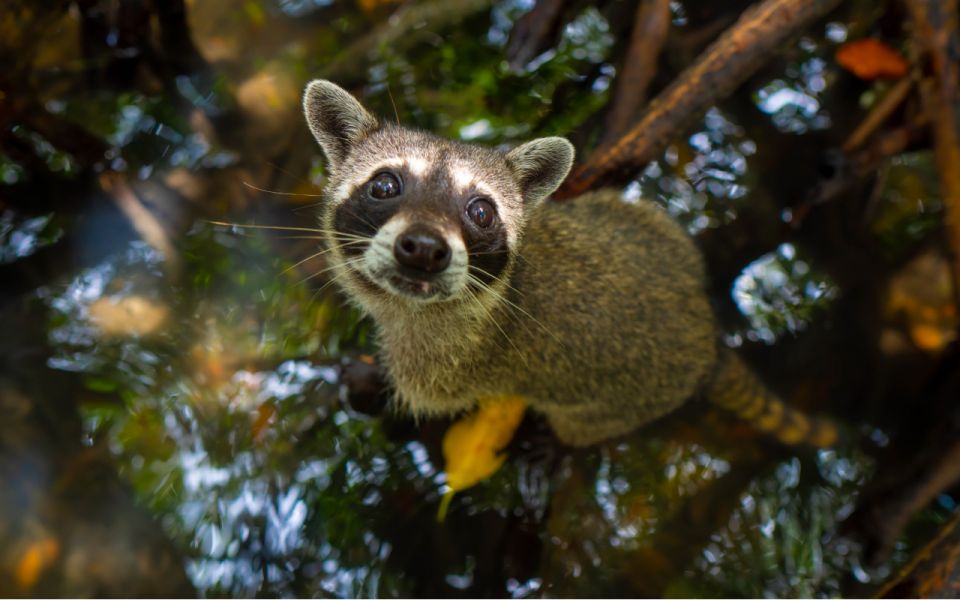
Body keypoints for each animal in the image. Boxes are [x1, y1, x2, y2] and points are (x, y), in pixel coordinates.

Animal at [304, 78, 836, 446]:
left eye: (481, 212)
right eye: (385, 185)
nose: (424, 248)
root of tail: (708, 336)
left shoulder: (443, 367)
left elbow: (424, 405)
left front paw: (372, 386)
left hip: (618, 406)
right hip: (652, 225)